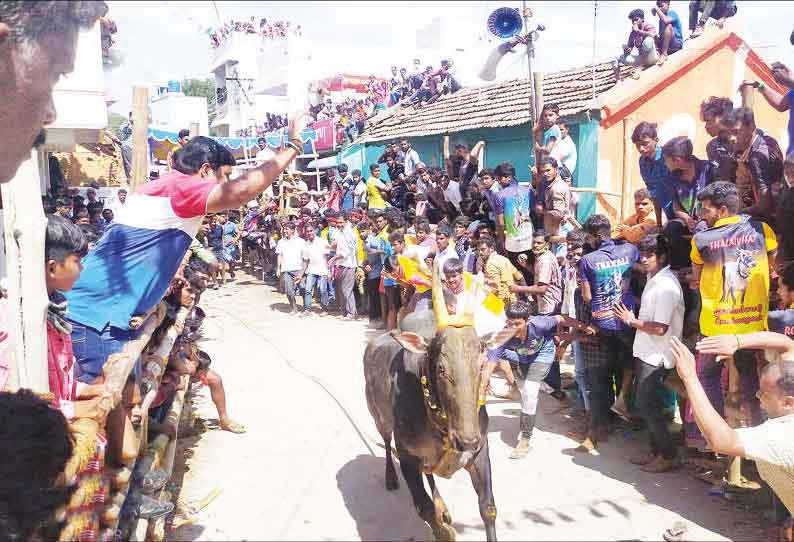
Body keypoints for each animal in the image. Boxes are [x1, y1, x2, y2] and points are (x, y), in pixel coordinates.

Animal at [362, 266, 510, 540]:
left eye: (481, 363)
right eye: (440, 368)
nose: (467, 440)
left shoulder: (480, 452)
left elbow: (488, 508)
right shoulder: (408, 456)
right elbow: (426, 511)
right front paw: (443, 527)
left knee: (429, 472)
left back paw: (443, 507)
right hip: (379, 418)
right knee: (387, 443)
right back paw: (391, 478)